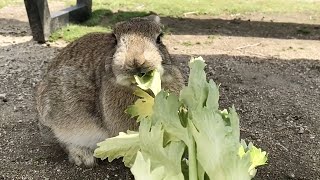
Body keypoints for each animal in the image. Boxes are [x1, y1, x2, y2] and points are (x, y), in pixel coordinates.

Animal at [35, 14, 184, 167]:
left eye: (159, 38)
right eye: (115, 39)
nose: (136, 62)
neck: (140, 87)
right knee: (64, 141)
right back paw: (83, 157)